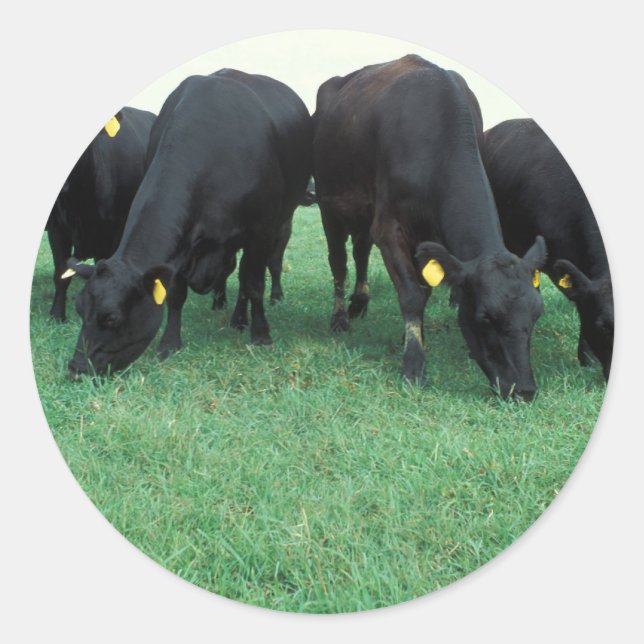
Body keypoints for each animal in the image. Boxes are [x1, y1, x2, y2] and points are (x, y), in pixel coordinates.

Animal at [66, 69, 312, 378]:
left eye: (111, 318)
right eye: (78, 309)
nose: (76, 368)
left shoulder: (261, 229)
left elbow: (254, 282)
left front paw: (261, 334)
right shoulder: (182, 247)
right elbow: (176, 295)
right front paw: (170, 343)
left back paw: (240, 319)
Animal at [313, 55, 546, 400]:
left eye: (535, 314)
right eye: (485, 317)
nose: (525, 390)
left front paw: (415, 338)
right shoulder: (389, 228)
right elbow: (413, 294)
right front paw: (414, 363)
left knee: (360, 252)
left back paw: (360, 302)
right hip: (330, 205)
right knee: (339, 262)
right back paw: (340, 317)